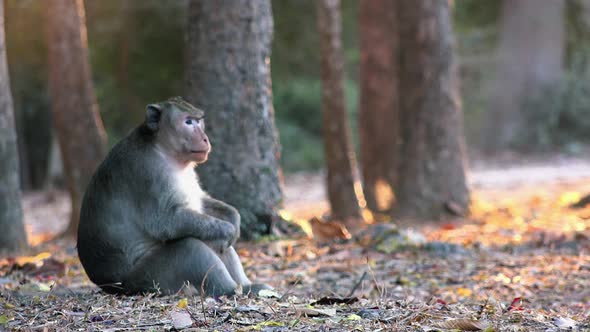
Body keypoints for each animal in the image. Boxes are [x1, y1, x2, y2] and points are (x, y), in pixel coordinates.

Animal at [77, 97, 272, 296]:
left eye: (199, 121)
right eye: (188, 122)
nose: (205, 138)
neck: (162, 149)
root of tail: (112, 286)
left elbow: (200, 203)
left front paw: (234, 218)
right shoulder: (148, 173)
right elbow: (165, 222)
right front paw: (229, 229)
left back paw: (248, 287)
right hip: (150, 279)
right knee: (190, 249)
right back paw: (230, 290)